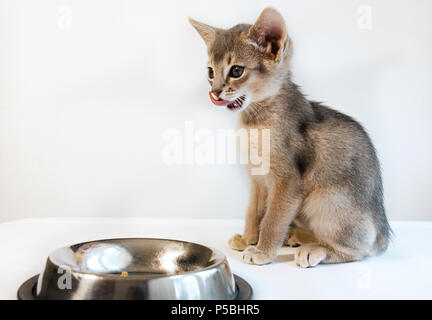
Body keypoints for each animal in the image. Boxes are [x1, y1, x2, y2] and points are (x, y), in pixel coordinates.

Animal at [189, 8, 392, 268]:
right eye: (210, 72)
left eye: (236, 71)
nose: (214, 92)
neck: (255, 122)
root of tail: (384, 232)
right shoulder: (257, 178)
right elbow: (253, 211)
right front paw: (248, 238)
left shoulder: (287, 181)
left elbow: (273, 219)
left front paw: (262, 251)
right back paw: (298, 236)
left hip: (322, 200)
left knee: (359, 250)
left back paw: (314, 249)